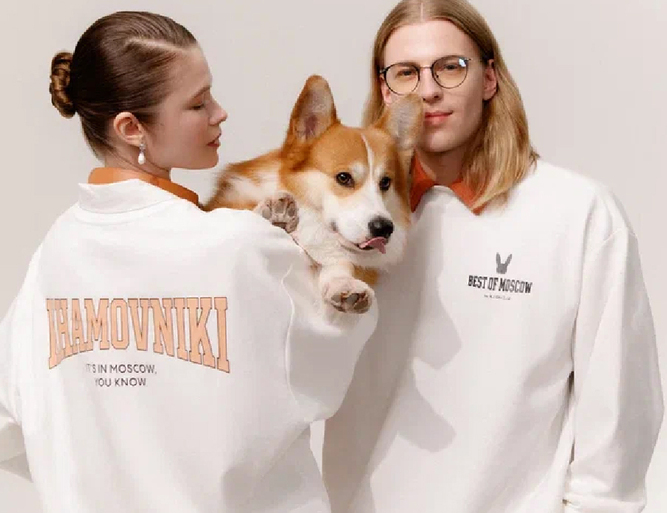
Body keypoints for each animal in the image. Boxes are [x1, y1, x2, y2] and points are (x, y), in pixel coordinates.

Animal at [204, 75, 422, 314]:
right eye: (343, 177)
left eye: (385, 182)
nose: (383, 228)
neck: (311, 219)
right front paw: (271, 212)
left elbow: (340, 262)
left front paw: (342, 284)